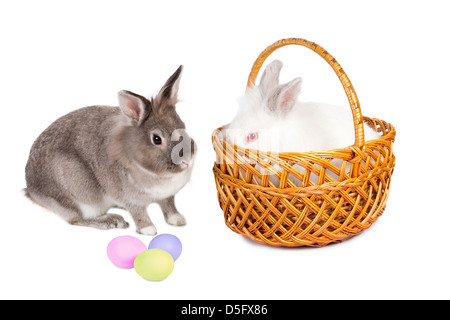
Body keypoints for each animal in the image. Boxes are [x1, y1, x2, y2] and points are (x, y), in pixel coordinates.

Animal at [24, 65, 193, 235]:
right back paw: (112, 221)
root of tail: (31, 190)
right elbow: (139, 213)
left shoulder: (168, 196)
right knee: (76, 219)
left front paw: (177, 219)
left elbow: (169, 205)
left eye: (183, 126)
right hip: (79, 197)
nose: (187, 161)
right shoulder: (130, 199)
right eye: (157, 139)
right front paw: (148, 229)